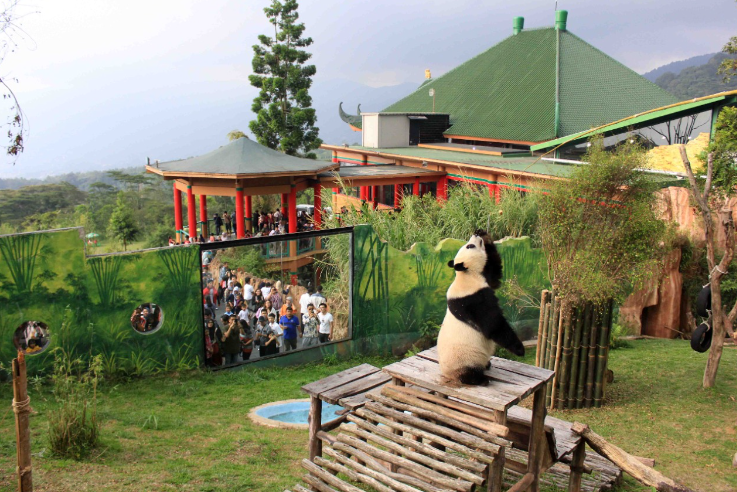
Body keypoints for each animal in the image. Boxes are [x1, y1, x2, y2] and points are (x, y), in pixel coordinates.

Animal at [436, 229, 524, 386]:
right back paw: (480, 379)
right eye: (470, 246)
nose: (475, 236)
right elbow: (492, 324)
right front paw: (519, 349)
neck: (466, 276)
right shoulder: (472, 298)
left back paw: (487, 365)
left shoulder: (485, 278)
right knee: (469, 370)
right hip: (464, 358)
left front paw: (484, 234)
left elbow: (495, 272)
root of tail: (448, 375)